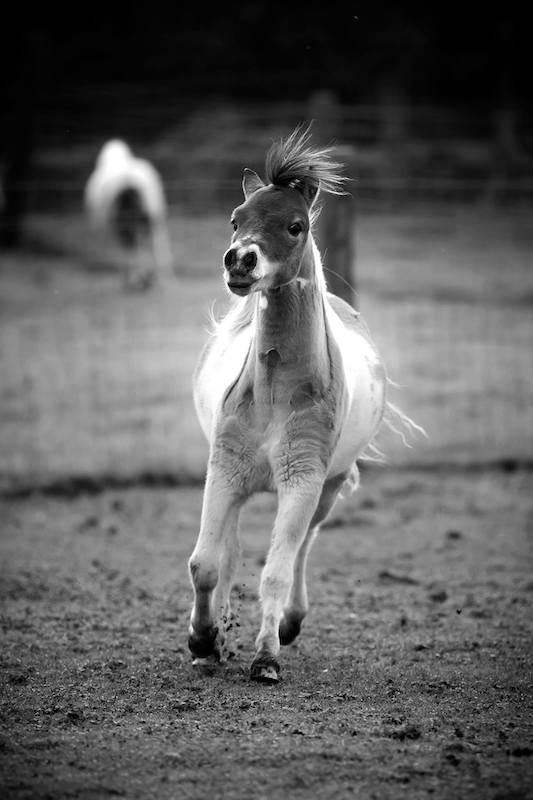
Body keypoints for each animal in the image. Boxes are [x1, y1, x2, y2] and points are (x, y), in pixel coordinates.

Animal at [84, 139, 174, 290]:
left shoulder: (126, 225)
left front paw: (136, 278)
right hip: (147, 220)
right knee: (147, 245)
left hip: (143, 221)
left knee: (145, 246)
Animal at [189, 125, 421, 683]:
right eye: (236, 219)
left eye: (295, 226)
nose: (240, 260)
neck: (274, 394)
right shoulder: (224, 470)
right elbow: (205, 562)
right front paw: (203, 640)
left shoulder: (303, 479)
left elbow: (275, 572)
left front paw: (266, 658)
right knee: (229, 550)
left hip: (328, 489)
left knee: (301, 550)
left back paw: (288, 624)